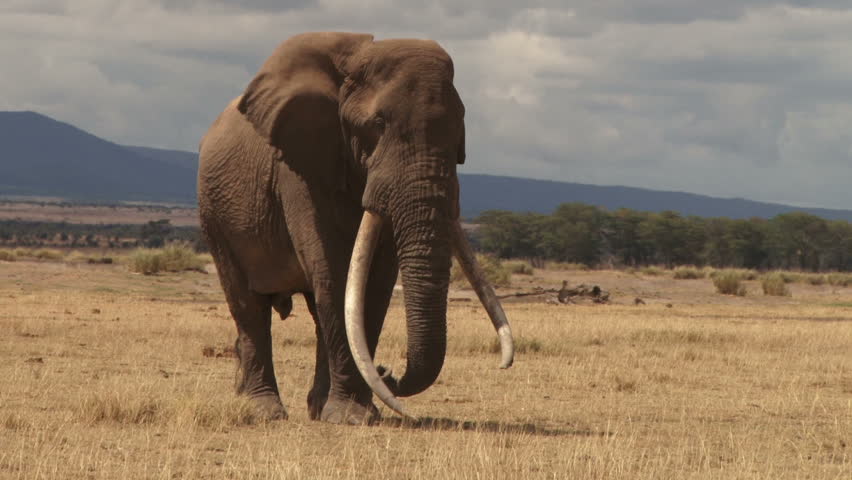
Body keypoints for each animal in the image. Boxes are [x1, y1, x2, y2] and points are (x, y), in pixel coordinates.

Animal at [198, 31, 512, 426]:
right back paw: (264, 411)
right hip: (214, 213)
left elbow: (374, 285)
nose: (386, 370)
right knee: (248, 305)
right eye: (377, 123)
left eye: (460, 130)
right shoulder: (299, 165)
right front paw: (351, 417)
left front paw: (358, 414)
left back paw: (308, 407)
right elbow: (333, 273)